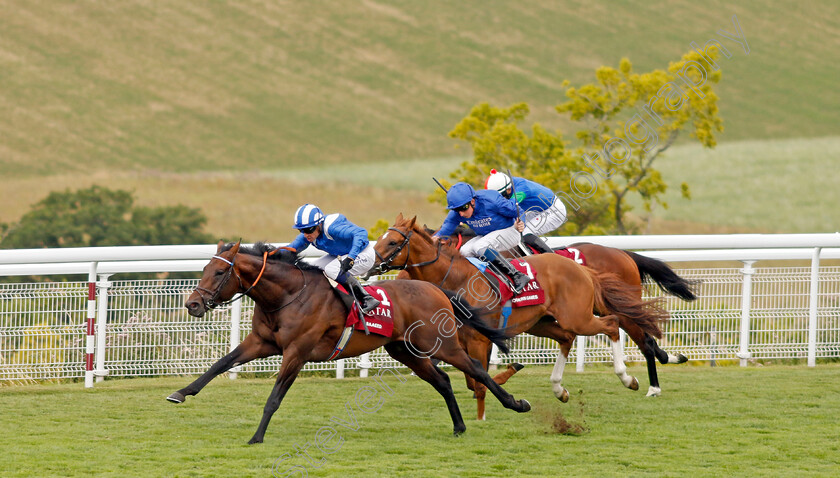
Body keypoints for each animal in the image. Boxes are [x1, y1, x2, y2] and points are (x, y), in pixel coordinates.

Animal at [167, 241, 528, 442]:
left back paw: (516, 404)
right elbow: (220, 364)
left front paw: (256, 437)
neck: (287, 295)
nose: (192, 305)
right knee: (442, 380)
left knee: (476, 371)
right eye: (204, 268)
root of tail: (436, 288)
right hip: (405, 351)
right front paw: (180, 393)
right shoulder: (261, 343)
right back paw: (459, 427)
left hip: (441, 343)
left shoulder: (296, 352)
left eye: (218, 273)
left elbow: (274, 397)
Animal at [374, 215, 668, 420]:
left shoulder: (479, 339)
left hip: (581, 316)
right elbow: (473, 379)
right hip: (541, 323)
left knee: (616, 328)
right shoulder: (462, 340)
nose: (372, 264)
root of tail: (583, 269)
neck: (457, 279)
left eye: (392, 242)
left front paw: (483, 416)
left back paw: (632, 379)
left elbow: (478, 380)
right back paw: (559, 389)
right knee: (568, 338)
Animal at [446, 226, 696, 398]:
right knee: (647, 340)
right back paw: (671, 359)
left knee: (644, 341)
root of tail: (623, 253)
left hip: (618, 308)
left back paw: (653, 387)